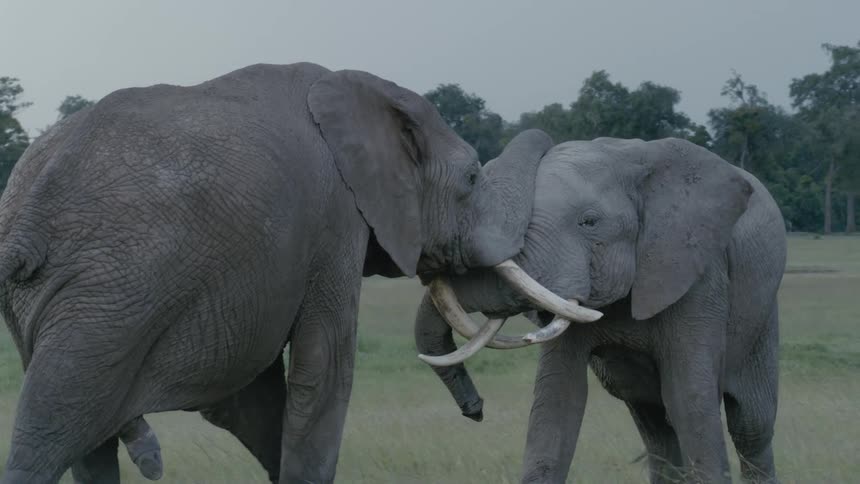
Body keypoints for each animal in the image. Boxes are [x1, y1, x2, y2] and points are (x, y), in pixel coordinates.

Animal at [0, 62, 557, 484]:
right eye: (472, 177)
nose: (476, 411)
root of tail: (25, 215)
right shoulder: (334, 221)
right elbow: (325, 366)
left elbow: (252, 395)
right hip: (108, 302)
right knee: (52, 429)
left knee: (86, 446)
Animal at [414, 137, 786, 483]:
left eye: (589, 222)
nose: (475, 410)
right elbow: (558, 398)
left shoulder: (698, 275)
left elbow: (688, 397)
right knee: (656, 429)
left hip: (763, 319)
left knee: (751, 424)